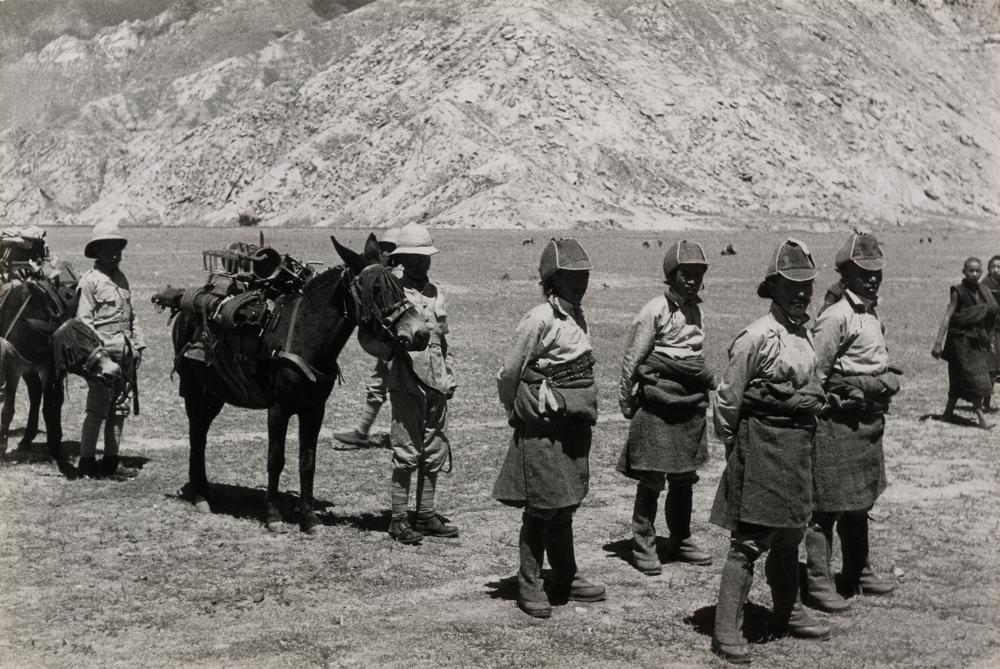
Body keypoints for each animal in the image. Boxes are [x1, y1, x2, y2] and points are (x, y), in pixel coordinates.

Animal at [172, 235, 430, 532]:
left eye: (399, 286)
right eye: (375, 289)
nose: (421, 333)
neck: (306, 338)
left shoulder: (314, 409)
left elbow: (308, 461)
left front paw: (309, 518)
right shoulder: (278, 409)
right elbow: (275, 459)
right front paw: (273, 515)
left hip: (215, 392)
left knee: (201, 432)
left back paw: (204, 490)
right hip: (193, 389)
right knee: (196, 436)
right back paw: (200, 496)